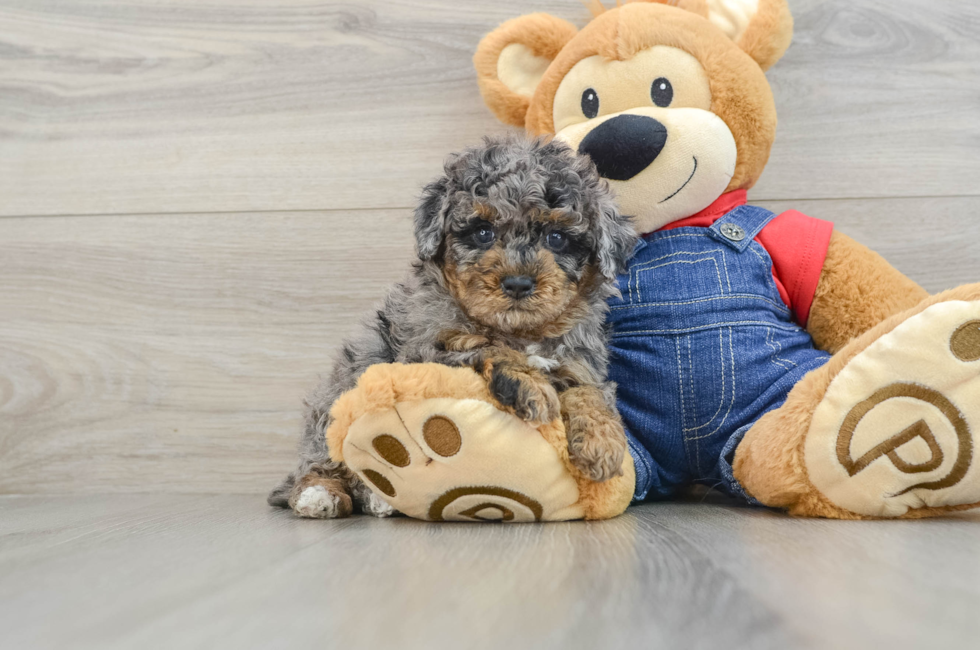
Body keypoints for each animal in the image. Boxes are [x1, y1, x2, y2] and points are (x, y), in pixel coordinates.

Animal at [268, 135, 636, 516]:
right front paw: (531, 385)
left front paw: (603, 444)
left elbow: (590, 391)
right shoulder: (423, 351)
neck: (518, 331)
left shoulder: (580, 361)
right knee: (319, 464)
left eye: (557, 238)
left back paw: (377, 499)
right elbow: (488, 346)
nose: (518, 283)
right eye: (483, 232)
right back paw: (321, 495)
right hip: (332, 404)